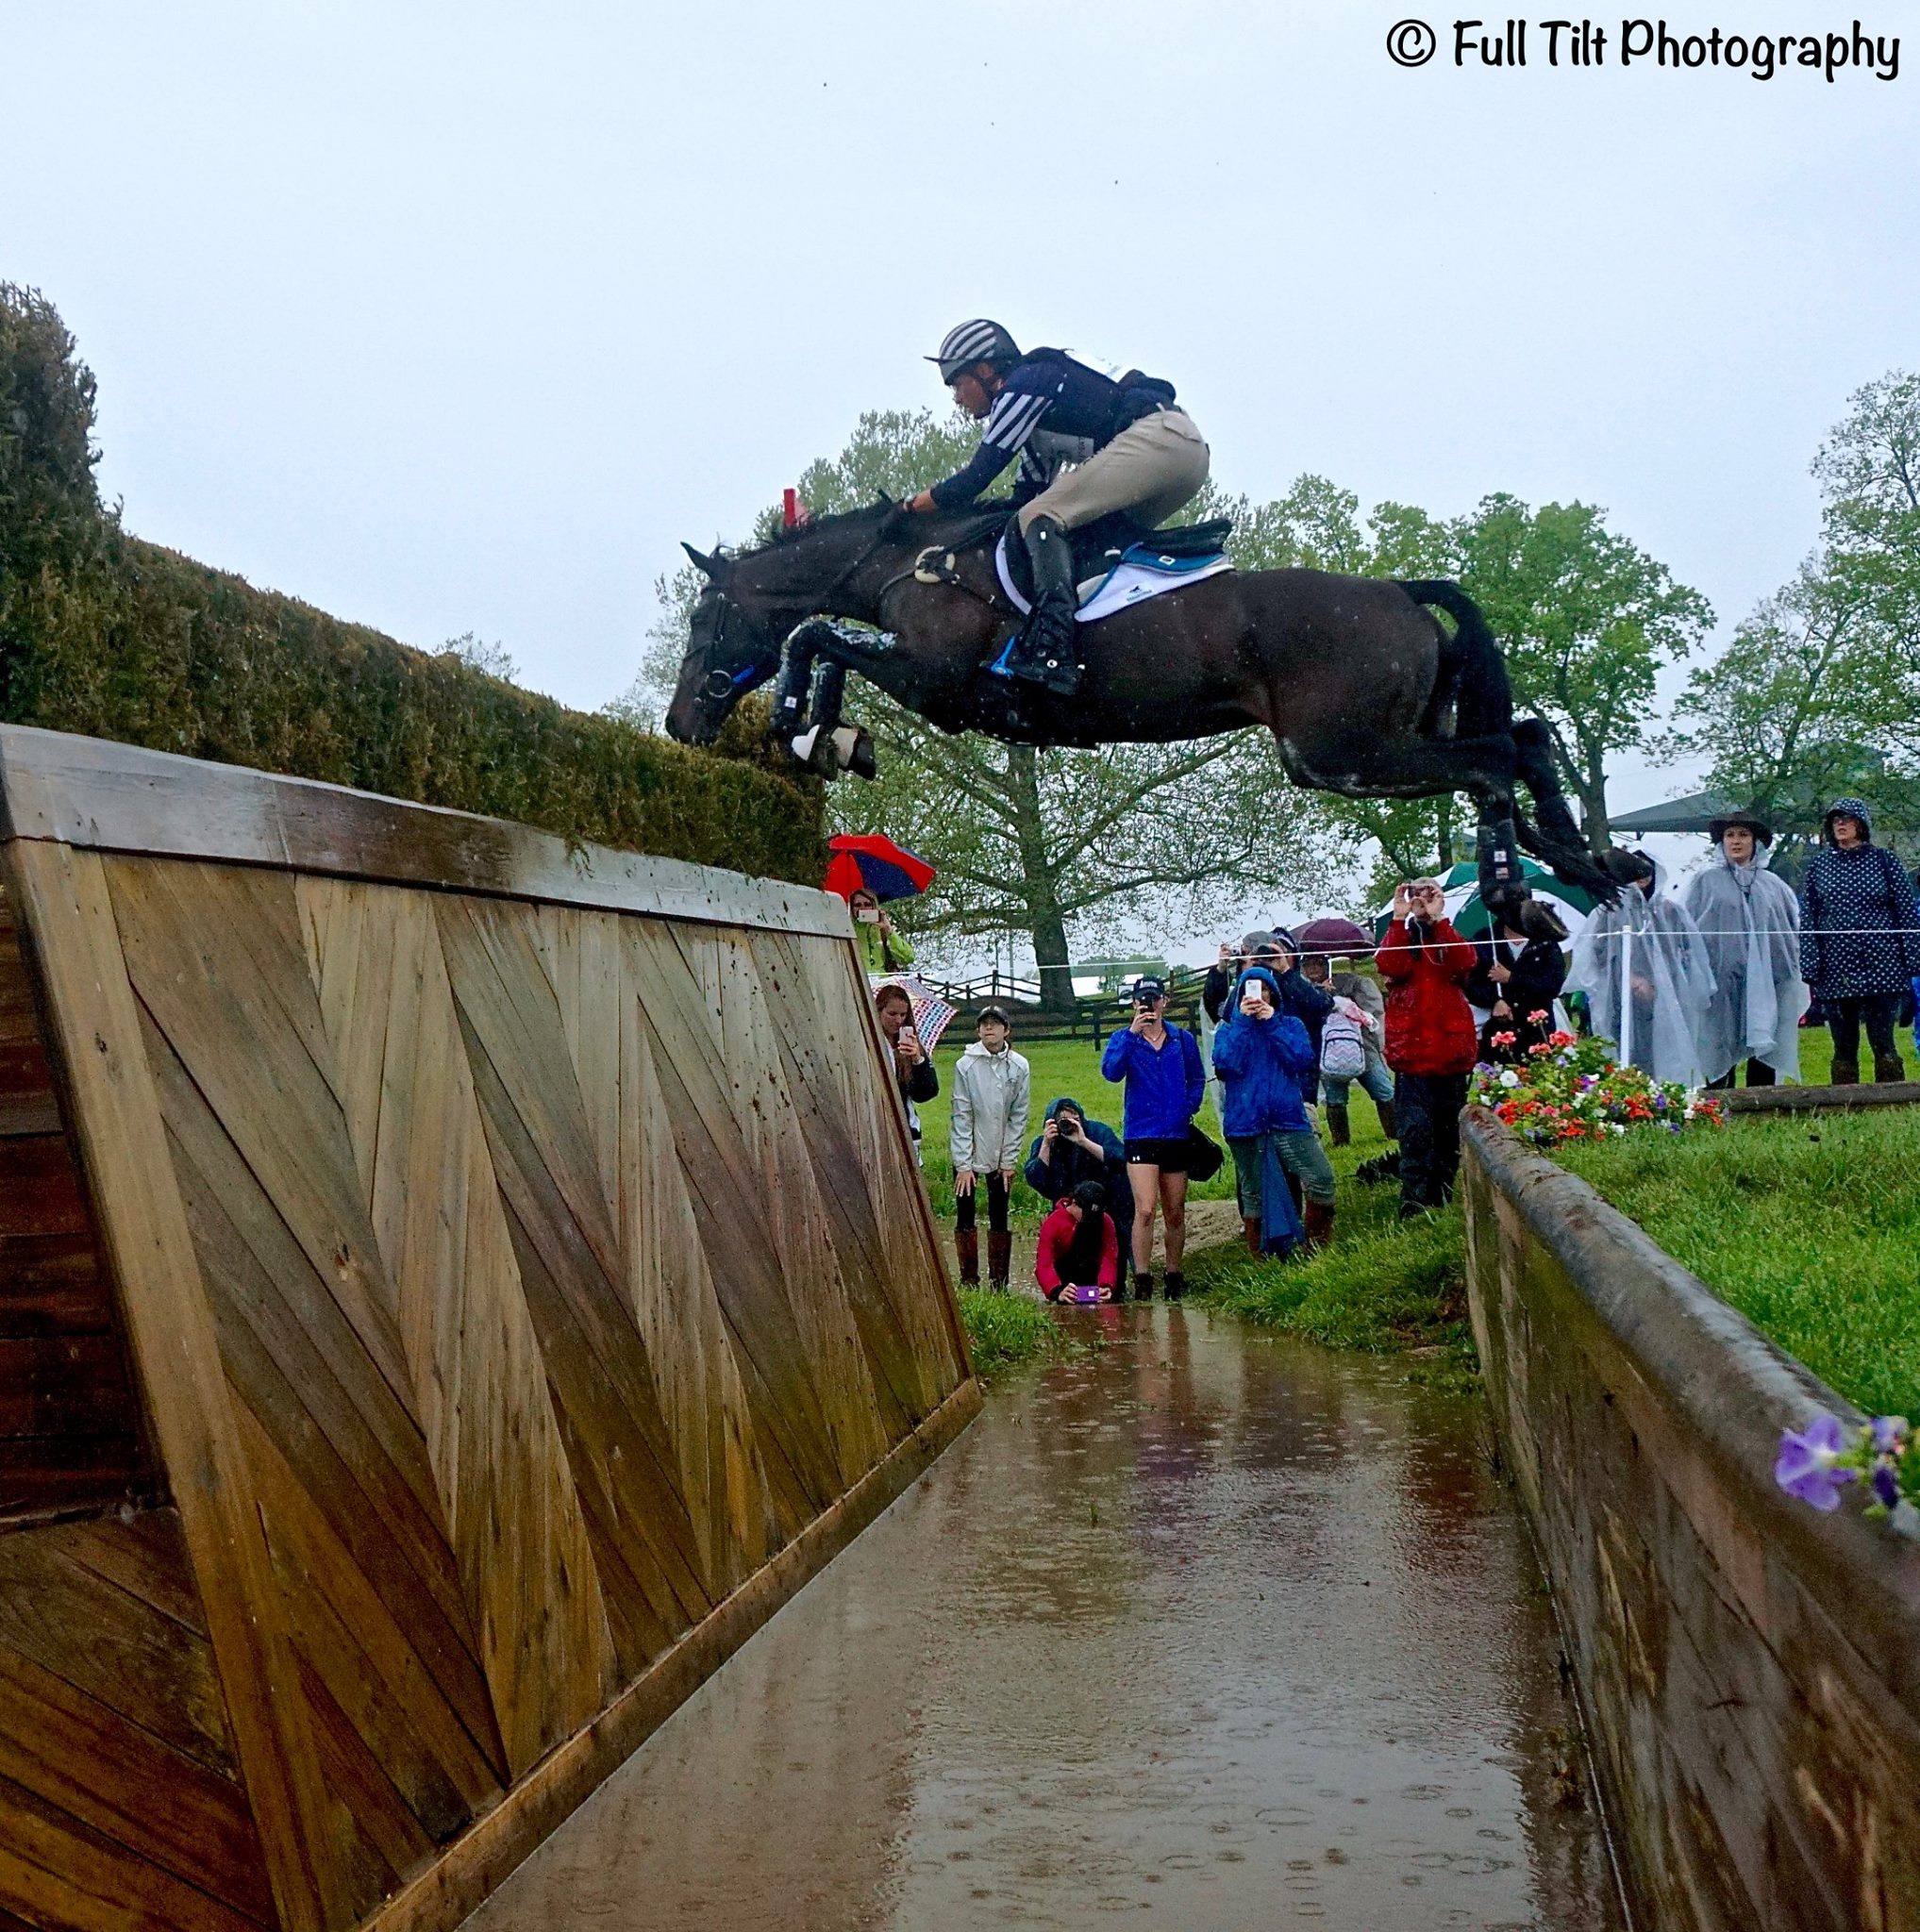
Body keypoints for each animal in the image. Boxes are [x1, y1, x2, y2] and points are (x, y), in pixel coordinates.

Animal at [664, 494, 1607, 892]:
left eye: (705, 619)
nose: (678, 727)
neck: (911, 562)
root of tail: (1402, 592)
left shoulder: (939, 684)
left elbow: (813, 638)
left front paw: (801, 727)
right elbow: (824, 645)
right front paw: (829, 736)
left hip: (1341, 752)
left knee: (1491, 761)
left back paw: (1514, 894)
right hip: (1387, 738)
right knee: (1524, 741)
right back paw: (1593, 866)